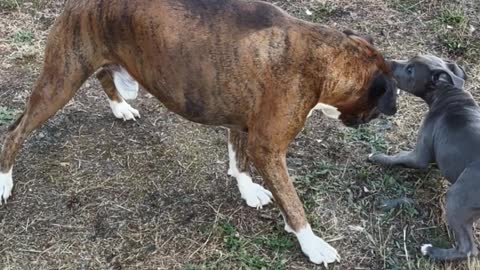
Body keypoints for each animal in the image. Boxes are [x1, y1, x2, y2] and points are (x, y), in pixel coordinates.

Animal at [0, 0, 398, 264]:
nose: (374, 116)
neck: (322, 57)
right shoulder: (268, 148)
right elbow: (293, 202)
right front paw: (311, 243)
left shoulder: (243, 126)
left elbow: (238, 160)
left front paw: (247, 189)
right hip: (61, 81)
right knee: (14, 131)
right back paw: (4, 180)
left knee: (103, 75)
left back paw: (120, 107)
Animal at [370, 54, 478, 262]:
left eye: (410, 70)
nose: (389, 62)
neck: (448, 92)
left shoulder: (418, 156)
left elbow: (398, 156)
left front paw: (377, 156)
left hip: (456, 198)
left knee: (468, 248)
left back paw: (431, 251)